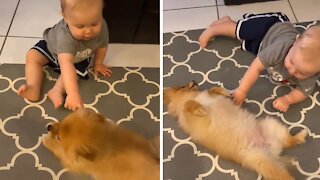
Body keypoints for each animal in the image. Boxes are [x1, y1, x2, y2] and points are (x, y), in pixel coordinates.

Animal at [165, 81, 308, 180]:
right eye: (183, 86)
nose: (194, 81)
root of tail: (272, 150)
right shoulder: (187, 115)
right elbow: (188, 104)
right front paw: (200, 109)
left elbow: (213, 89)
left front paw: (225, 92)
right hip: (262, 161)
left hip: (271, 124)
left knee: (289, 141)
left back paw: (301, 135)